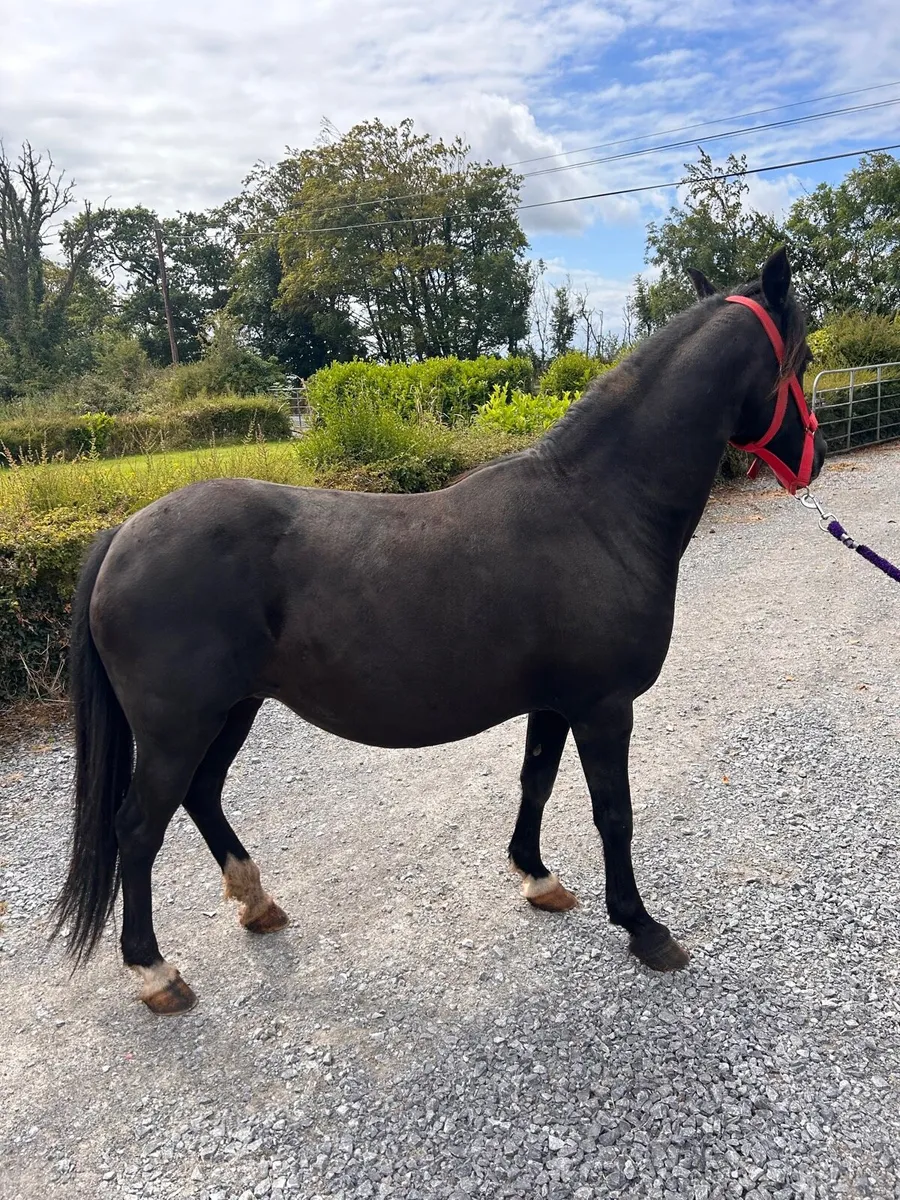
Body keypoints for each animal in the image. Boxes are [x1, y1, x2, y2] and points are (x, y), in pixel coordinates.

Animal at [52, 248, 825, 1014]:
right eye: (807, 356)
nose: (814, 460)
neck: (596, 509)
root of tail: (123, 533)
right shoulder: (604, 707)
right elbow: (614, 813)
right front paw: (644, 928)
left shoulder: (556, 702)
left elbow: (535, 781)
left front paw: (538, 878)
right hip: (178, 728)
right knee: (138, 829)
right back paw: (155, 970)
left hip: (232, 710)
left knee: (202, 795)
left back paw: (256, 903)